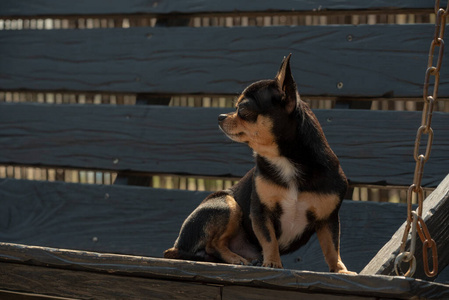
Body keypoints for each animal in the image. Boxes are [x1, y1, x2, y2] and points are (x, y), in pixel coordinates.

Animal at [164, 54, 354, 274]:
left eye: (242, 109)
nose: (221, 116)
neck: (285, 160)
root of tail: (177, 244)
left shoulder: (328, 219)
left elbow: (332, 247)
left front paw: (340, 270)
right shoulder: (261, 212)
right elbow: (269, 239)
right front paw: (272, 263)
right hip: (227, 204)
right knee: (214, 243)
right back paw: (238, 259)